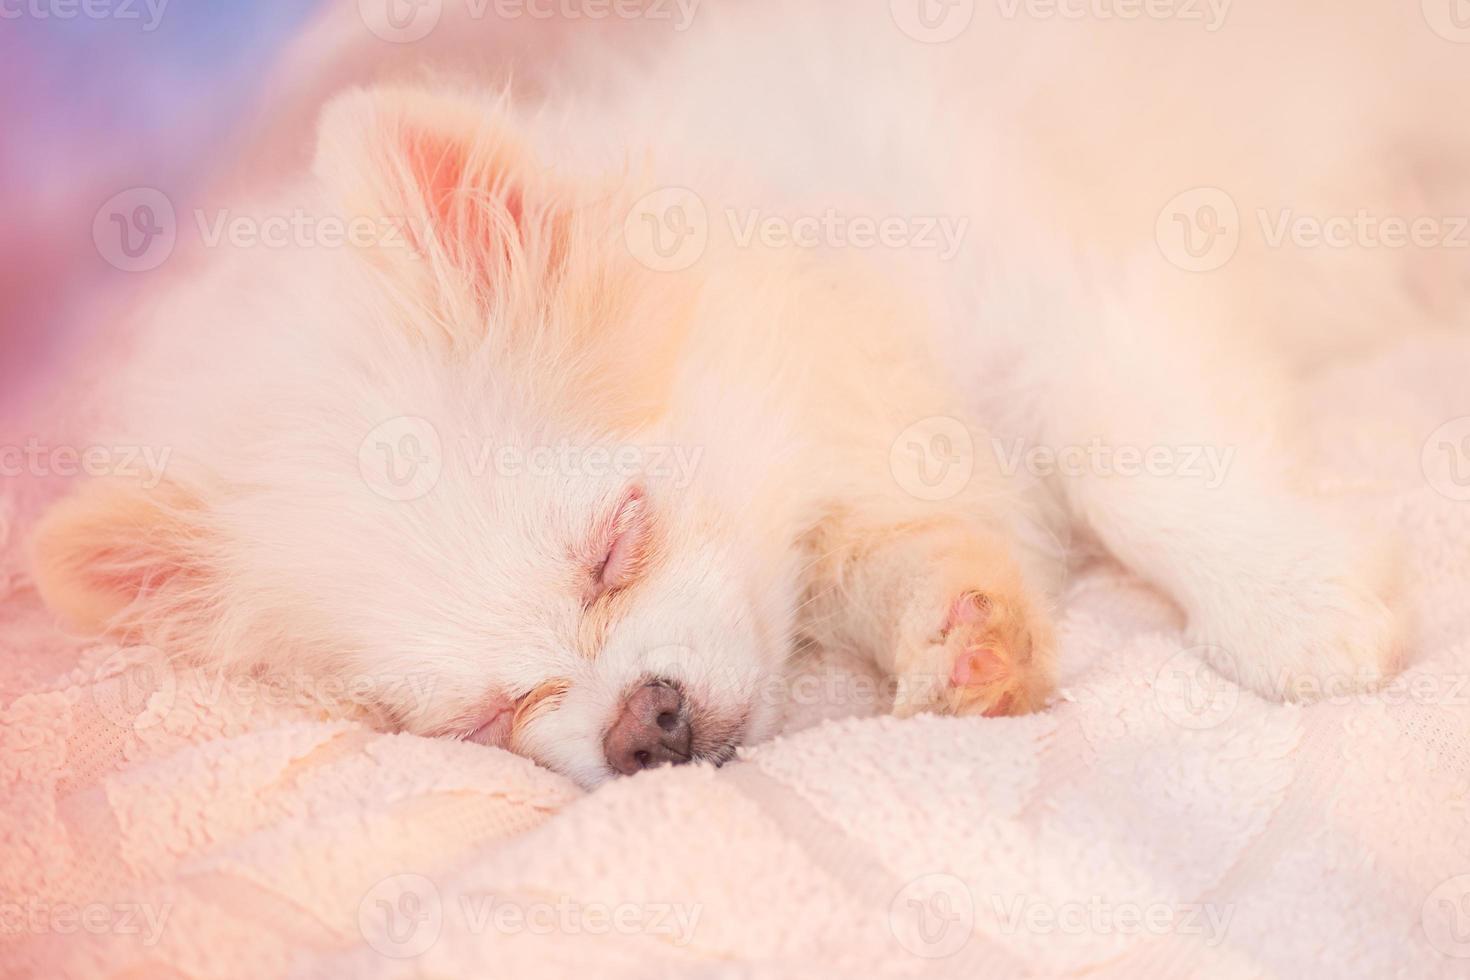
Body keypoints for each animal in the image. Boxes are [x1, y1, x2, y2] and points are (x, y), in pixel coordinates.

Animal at [31, 0, 1458, 781]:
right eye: (495, 713)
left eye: (617, 542)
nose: (641, 722)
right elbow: (899, 561)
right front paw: (962, 631)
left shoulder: (1062, 290)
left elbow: (1135, 465)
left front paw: (1289, 603)